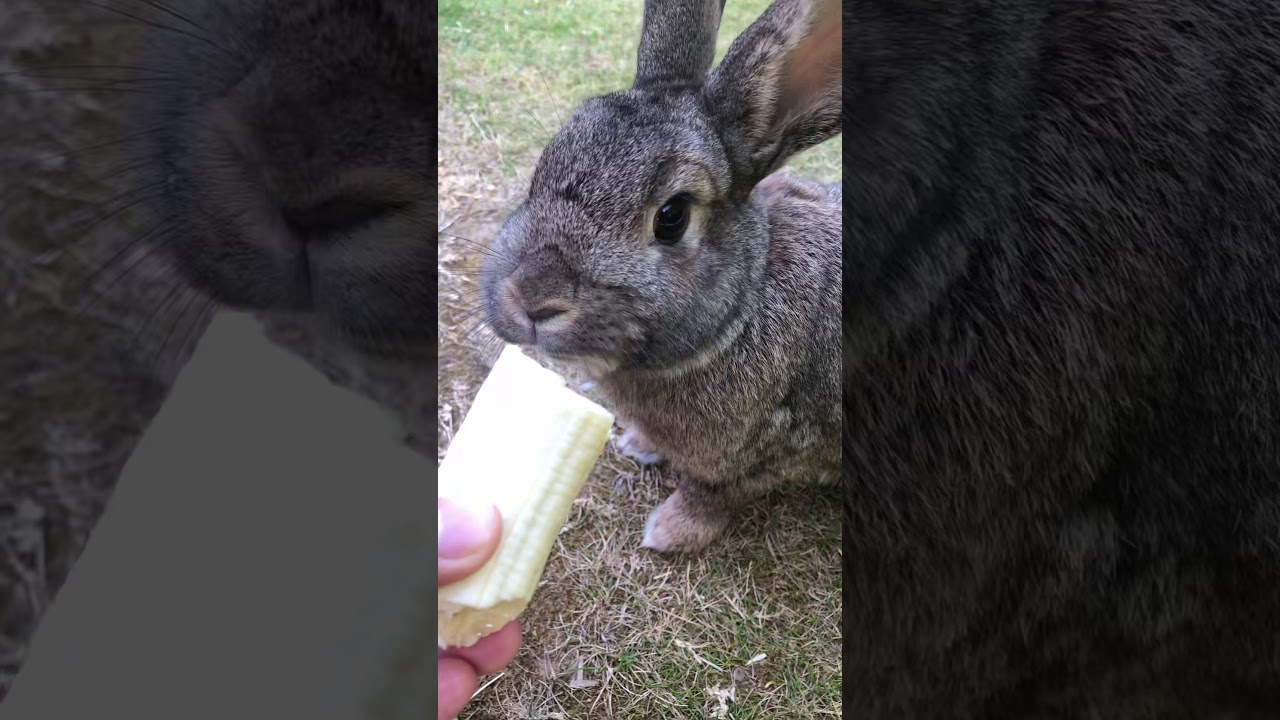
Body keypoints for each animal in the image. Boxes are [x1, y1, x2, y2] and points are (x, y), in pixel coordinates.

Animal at [480, 0, 842, 555]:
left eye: (672, 216)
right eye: (545, 165)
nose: (533, 297)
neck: (739, 312)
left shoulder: (767, 448)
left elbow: (712, 491)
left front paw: (669, 532)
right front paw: (638, 445)